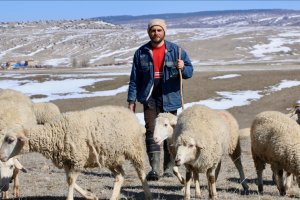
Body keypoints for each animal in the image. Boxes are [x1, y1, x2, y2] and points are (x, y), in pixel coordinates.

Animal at [0, 105, 152, 199]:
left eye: (10, 140)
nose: (1, 156)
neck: (55, 133)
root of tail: (131, 114)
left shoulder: (78, 159)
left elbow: (71, 181)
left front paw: (71, 197)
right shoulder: (68, 161)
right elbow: (69, 180)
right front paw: (91, 196)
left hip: (136, 150)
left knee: (141, 174)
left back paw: (148, 194)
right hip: (111, 157)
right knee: (120, 176)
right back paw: (113, 197)